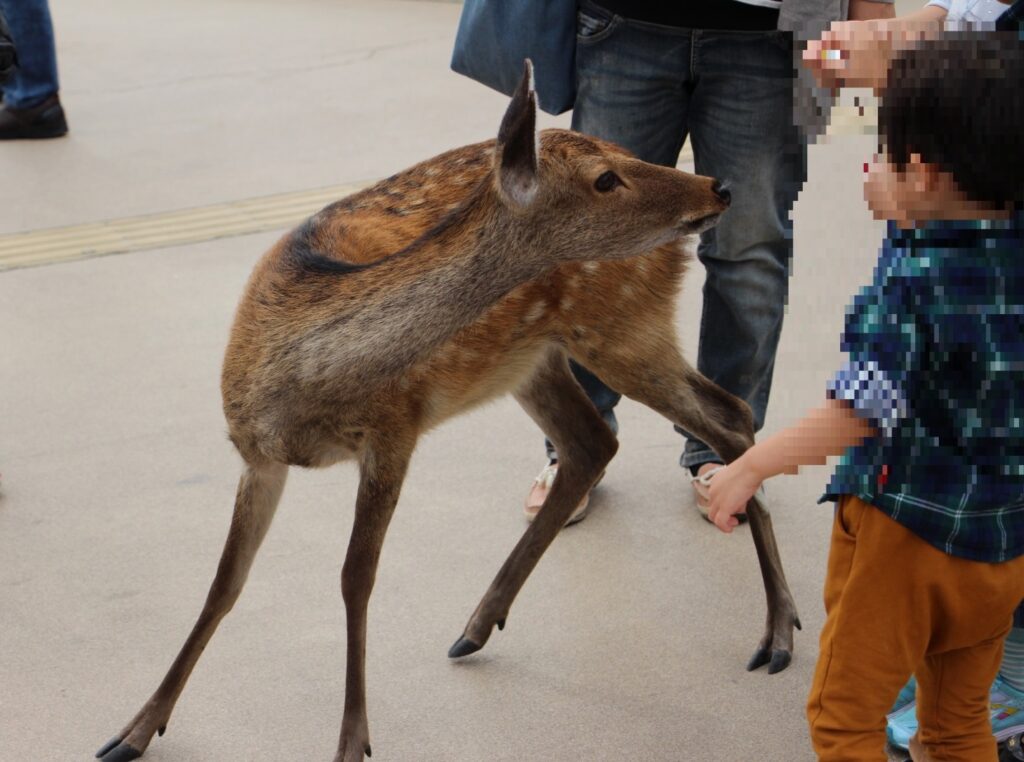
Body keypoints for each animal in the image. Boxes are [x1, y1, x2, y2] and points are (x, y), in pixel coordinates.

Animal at [96, 64, 798, 762]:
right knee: (597, 441)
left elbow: (355, 577)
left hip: (621, 324)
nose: (719, 186)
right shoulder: (255, 454)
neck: (299, 380)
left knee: (729, 416)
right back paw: (477, 626)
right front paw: (134, 729)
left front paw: (352, 740)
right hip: (536, 357)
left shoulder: (394, 428)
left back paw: (779, 633)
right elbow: (224, 583)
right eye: (605, 179)